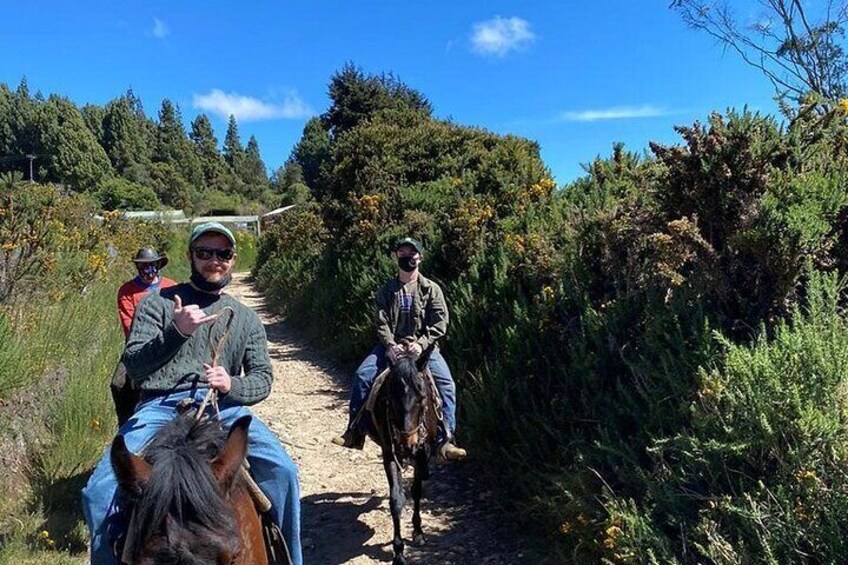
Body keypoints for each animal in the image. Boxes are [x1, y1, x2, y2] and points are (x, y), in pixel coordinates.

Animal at [366, 350, 440, 560]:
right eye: (390, 399)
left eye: (422, 397)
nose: (408, 444)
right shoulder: (389, 454)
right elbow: (396, 499)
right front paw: (398, 552)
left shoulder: (422, 452)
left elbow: (416, 491)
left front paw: (418, 532)